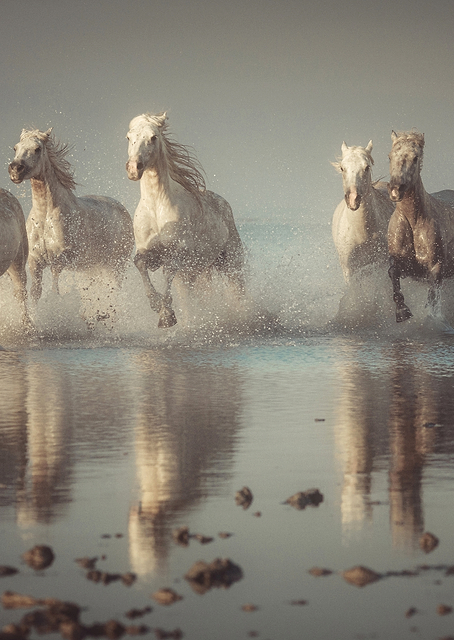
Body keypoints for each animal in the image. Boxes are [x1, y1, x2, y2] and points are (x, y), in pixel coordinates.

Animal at [8, 128, 134, 311]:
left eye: (37, 149)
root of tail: (122, 209)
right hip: (93, 267)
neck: (45, 219)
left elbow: (55, 291)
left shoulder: (59, 260)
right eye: (15, 148)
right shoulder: (34, 262)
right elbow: (35, 293)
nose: (15, 169)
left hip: (116, 266)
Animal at [125, 112, 245, 328]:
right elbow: (139, 263)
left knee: (237, 290)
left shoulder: (179, 252)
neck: (157, 208)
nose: (133, 168)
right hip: (195, 271)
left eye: (153, 137)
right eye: (129, 137)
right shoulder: (149, 251)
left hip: (231, 261)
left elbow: (168, 271)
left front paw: (166, 316)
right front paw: (156, 305)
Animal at [387, 130, 454, 323]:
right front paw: (402, 312)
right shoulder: (404, 265)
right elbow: (393, 272)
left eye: (415, 157)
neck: (414, 222)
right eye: (390, 156)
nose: (395, 189)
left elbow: (432, 298)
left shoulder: (435, 268)